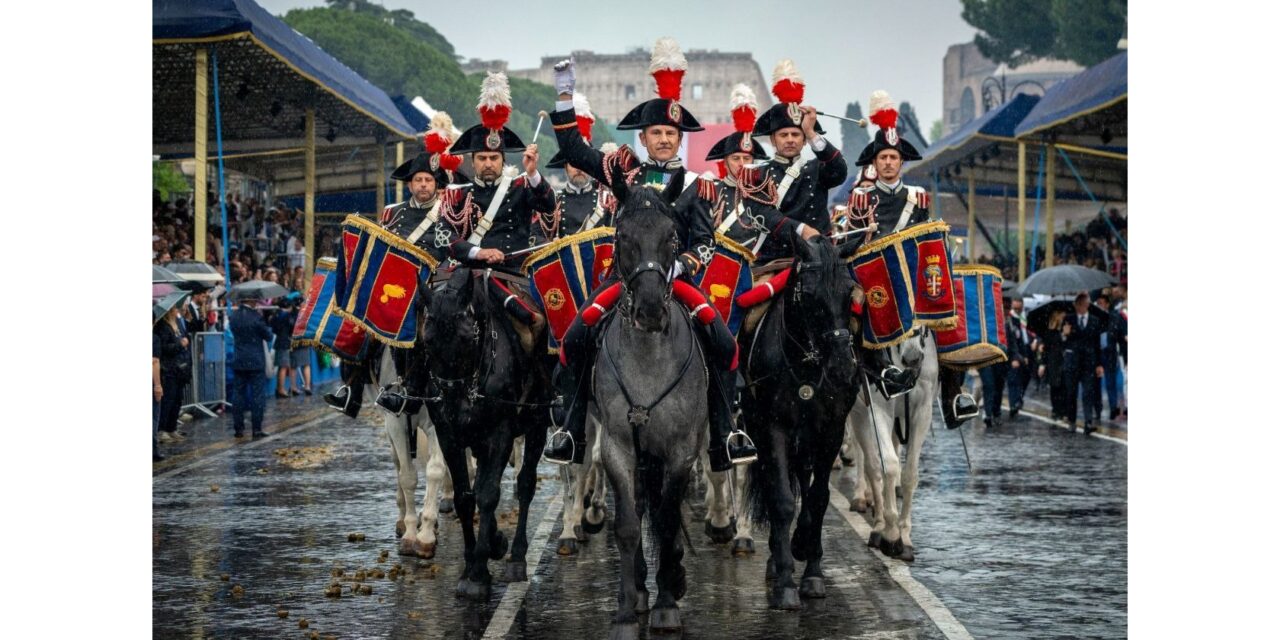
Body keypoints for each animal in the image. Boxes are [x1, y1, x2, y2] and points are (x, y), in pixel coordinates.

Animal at [424, 266, 550, 599]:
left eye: (467, 337)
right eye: (427, 341)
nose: (452, 405)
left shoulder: (500, 434)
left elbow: (489, 494)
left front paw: (479, 573)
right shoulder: (450, 437)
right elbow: (465, 498)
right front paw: (470, 563)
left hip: (536, 424)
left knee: (525, 484)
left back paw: (517, 557)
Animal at [591, 186, 711, 637]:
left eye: (672, 237)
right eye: (622, 236)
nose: (649, 311)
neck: (647, 361)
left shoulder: (681, 451)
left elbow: (665, 520)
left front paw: (667, 605)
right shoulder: (619, 447)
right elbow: (628, 524)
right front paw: (627, 612)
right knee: (644, 505)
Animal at [742, 236, 860, 609]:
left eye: (849, 291)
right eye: (808, 294)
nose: (842, 368)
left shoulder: (830, 431)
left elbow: (818, 498)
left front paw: (811, 569)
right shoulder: (774, 429)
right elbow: (780, 499)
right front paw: (785, 582)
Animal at [849, 327, 942, 563]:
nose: (913, 358)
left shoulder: (922, 412)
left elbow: (909, 474)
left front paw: (905, 538)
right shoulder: (878, 408)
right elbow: (887, 466)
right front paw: (891, 535)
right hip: (859, 412)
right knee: (870, 462)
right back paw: (875, 520)